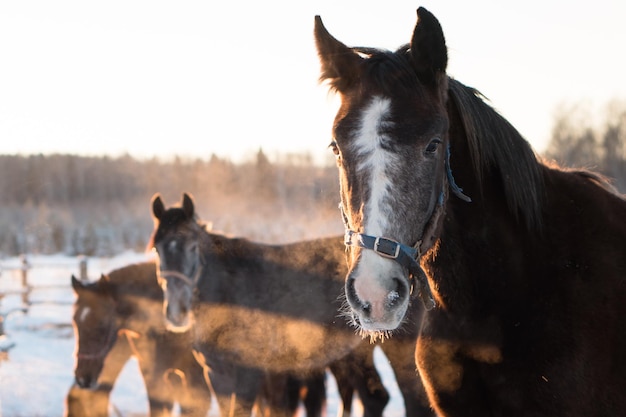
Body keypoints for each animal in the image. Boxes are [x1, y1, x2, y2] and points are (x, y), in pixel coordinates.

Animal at [149, 192, 432, 416]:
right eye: (157, 250)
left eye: (193, 247)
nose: (176, 312)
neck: (230, 288)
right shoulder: (216, 375)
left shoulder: (249, 375)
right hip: (356, 353)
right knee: (374, 399)